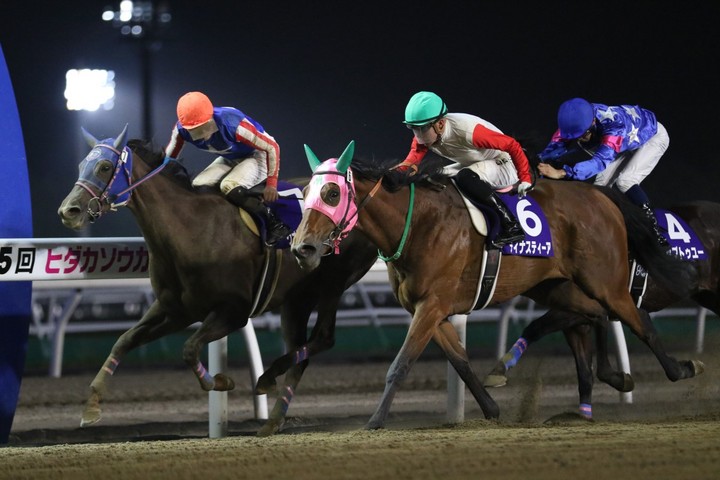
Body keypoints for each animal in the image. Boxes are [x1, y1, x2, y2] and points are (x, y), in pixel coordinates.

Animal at [57, 126, 378, 436]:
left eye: (104, 166)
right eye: (81, 164)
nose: (68, 211)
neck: (190, 230)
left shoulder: (234, 311)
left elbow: (189, 349)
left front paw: (222, 381)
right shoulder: (175, 310)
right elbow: (124, 341)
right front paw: (91, 406)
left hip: (332, 283)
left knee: (323, 337)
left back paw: (266, 381)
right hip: (296, 299)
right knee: (301, 352)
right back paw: (273, 418)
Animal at [485, 199, 719, 419]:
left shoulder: (587, 305)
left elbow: (537, 327)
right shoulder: (579, 316)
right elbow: (583, 370)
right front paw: (583, 414)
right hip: (707, 294)